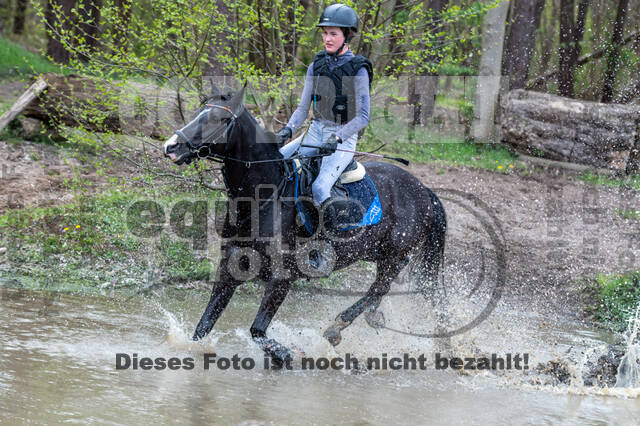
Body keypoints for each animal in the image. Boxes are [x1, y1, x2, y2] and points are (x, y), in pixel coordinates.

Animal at [162, 84, 448, 366]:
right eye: (198, 113)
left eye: (220, 119)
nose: (171, 146)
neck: (262, 198)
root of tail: (424, 190)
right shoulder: (230, 269)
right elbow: (203, 327)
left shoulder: (282, 277)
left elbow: (257, 331)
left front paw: (289, 353)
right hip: (375, 252)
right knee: (381, 288)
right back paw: (368, 317)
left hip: (394, 253)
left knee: (381, 285)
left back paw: (337, 327)